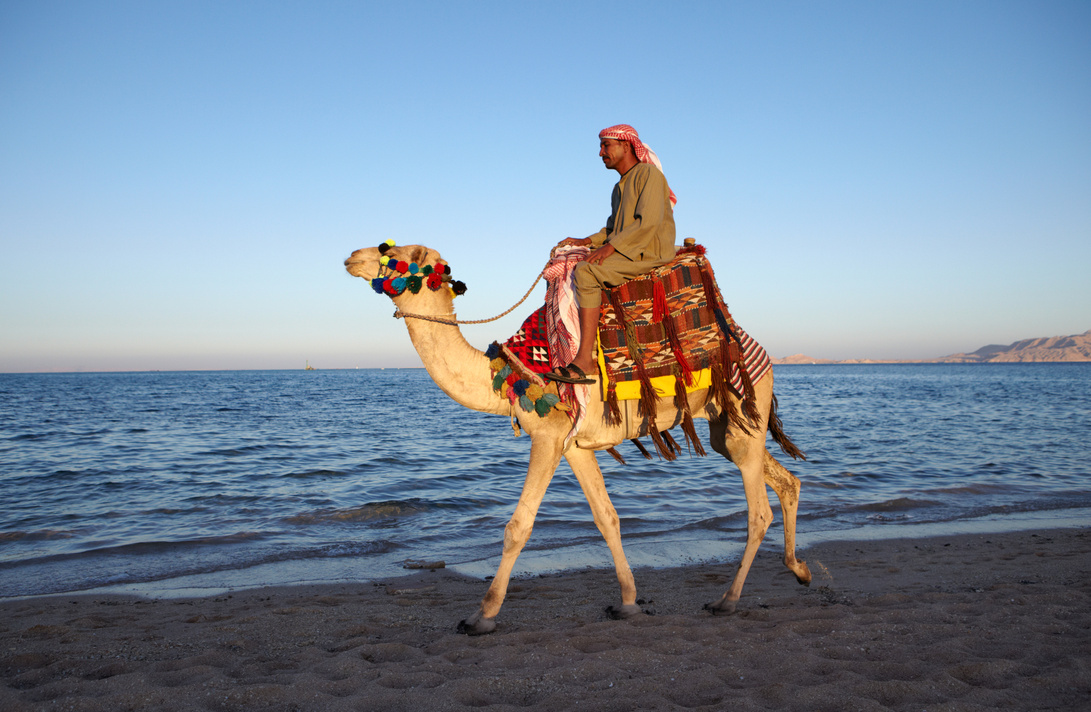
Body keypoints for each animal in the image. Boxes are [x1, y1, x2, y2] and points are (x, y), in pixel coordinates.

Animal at [342, 244, 811, 632]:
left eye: (395, 252)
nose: (351, 256)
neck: (513, 375)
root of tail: (763, 355)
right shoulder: (574, 446)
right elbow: (607, 518)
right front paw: (628, 602)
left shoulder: (548, 436)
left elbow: (518, 526)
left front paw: (481, 616)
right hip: (726, 426)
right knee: (786, 480)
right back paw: (799, 569)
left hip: (744, 407)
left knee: (758, 512)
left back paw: (727, 600)